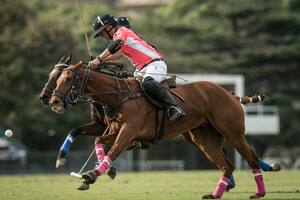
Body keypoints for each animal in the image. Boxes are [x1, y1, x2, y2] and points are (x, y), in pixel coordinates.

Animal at [49, 61, 274, 199]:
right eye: (57, 79)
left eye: (68, 79)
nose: (53, 101)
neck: (119, 96)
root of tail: (228, 93)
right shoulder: (115, 131)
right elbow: (99, 143)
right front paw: (95, 173)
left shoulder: (129, 132)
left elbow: (113, 151)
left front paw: (92, 174)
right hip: (204, 140)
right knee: (227, 165)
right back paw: (215, 194)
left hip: (234, 133)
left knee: (250, 158)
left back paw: (259, 191)